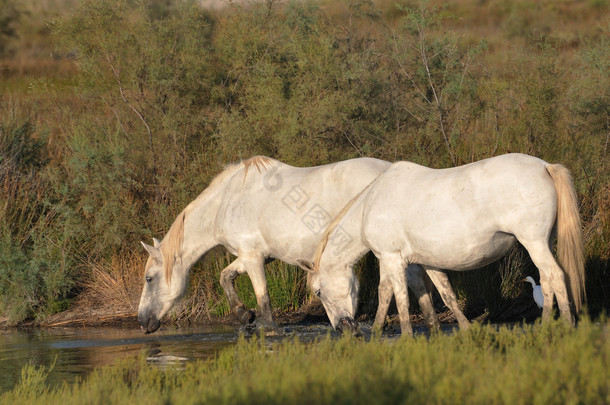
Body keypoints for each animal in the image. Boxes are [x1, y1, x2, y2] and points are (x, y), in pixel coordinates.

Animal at [137, 155, 466, 332]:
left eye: (149, 278)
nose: (141, 322)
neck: (226, 201)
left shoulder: (252, 257)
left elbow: (263, 297)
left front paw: (264, 326)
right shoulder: (255, 256)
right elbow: (225, 275)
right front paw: (243, 314)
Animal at [300, 153, 584, 332]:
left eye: (319, 292)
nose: (342, 328)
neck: (370, 204)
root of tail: (546, 166)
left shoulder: (391, 258)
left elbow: (393, 297)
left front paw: (397, 335)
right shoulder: (425, 263)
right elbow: (444, 295)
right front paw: (461, 330)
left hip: (534, 242)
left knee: (556, 276)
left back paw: (563, 325)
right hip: (542, 242)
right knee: (546, 280)